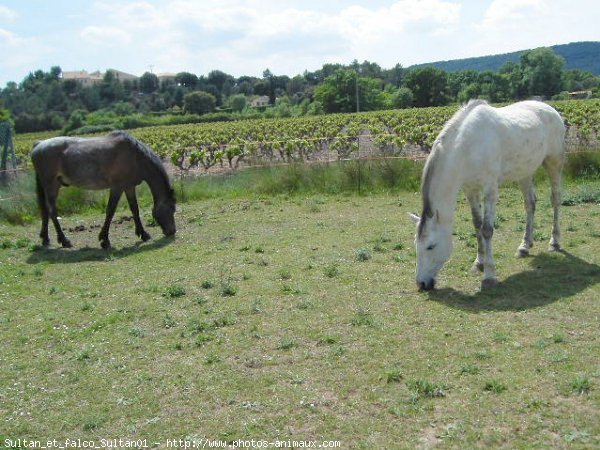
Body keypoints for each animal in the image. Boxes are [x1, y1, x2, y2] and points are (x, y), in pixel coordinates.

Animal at [31, 130, 176, 250]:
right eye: (171, 209)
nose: (172, 231)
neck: (135, 156)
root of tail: (38, 144)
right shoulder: (117, 187)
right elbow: (110, 211)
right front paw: (105, 240)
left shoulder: (129, 187)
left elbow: (135, 209)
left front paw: (143, 234)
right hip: (52, 186)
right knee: (52, 211)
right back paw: (64, 241)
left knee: (45, 211)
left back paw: (45, 239)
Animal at [410, 99, 564, 290]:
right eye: (416, 245)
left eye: (431, 246)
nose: (422, 283)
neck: (467, 146)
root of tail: (550, 109)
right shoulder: (470, 189)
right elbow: (477, 224)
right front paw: (479, 263)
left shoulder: (490, 188)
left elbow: (487, 229)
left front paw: (489, 274)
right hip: (525, 172)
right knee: (530, 204)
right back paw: (524, 246)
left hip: (554, 163)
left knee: (555, 200)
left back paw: (554, 242)